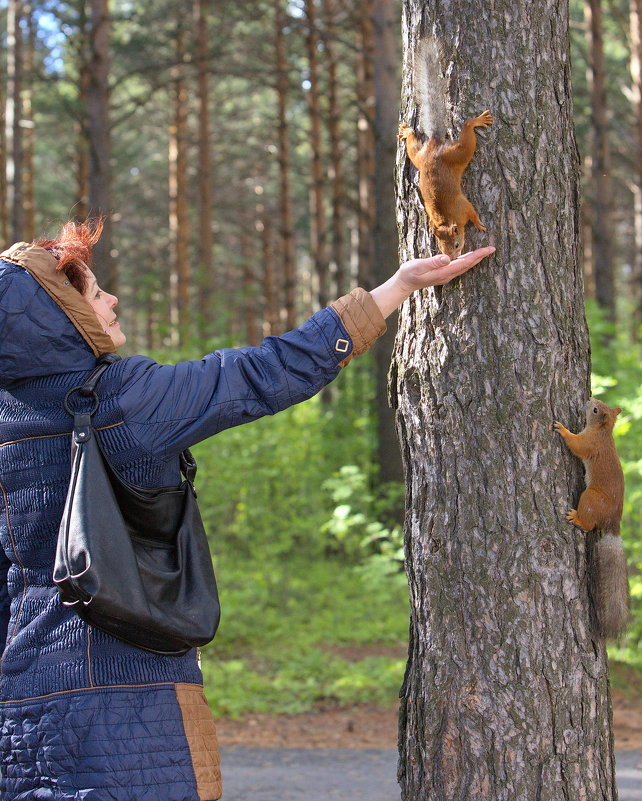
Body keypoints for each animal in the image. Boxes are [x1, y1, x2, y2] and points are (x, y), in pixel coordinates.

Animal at [398, 38, 492, 256]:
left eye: (456, 244)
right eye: (441, 249)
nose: (451, 259)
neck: (445, 219)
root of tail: (434, 145)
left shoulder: (463, 207)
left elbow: (473, 213)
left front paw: (479, 224)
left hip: (458, 153)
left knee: (467, 129)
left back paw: (476, 121)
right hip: (420, 157)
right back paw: (407, 132)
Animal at [552, 398, 628, 636]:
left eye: (595, 410)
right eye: (599, 404)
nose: (588, 400)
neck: (603, 432)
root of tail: (614, 521)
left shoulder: (589, 443)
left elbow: (576, 445)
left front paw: (562, 429)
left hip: (591, 498)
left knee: (588, 525)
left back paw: (576, 518)